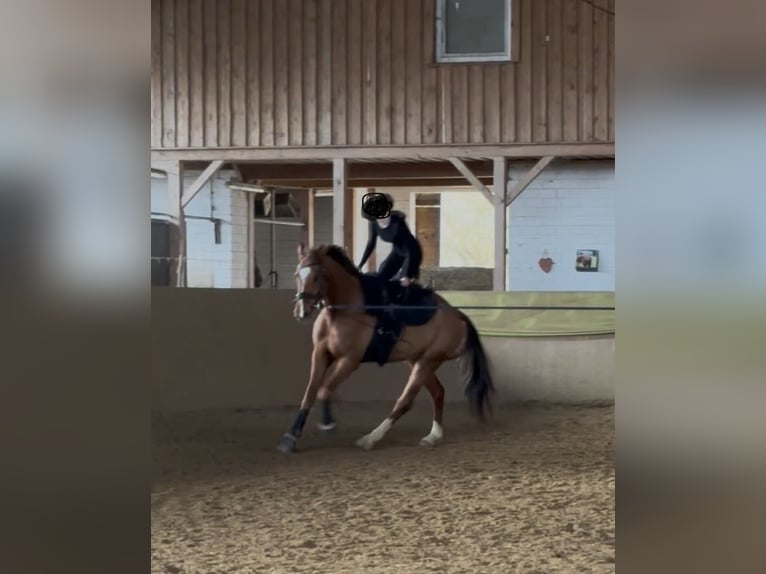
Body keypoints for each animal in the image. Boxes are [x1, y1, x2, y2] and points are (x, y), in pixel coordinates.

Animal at [277, 242, 494, 453]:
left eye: (317, 276)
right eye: (297, 275)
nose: (302, 312)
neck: (342, 309)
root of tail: (459, 316)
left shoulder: (349, 361)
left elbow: (324, 390)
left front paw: (328, 424)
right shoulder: (321, 353)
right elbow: (310, 393)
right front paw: (290, 438)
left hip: (428, 361)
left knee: (405, 402)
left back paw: (370, 439)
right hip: (416, 360)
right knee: (438, 392)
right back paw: (433, 436)